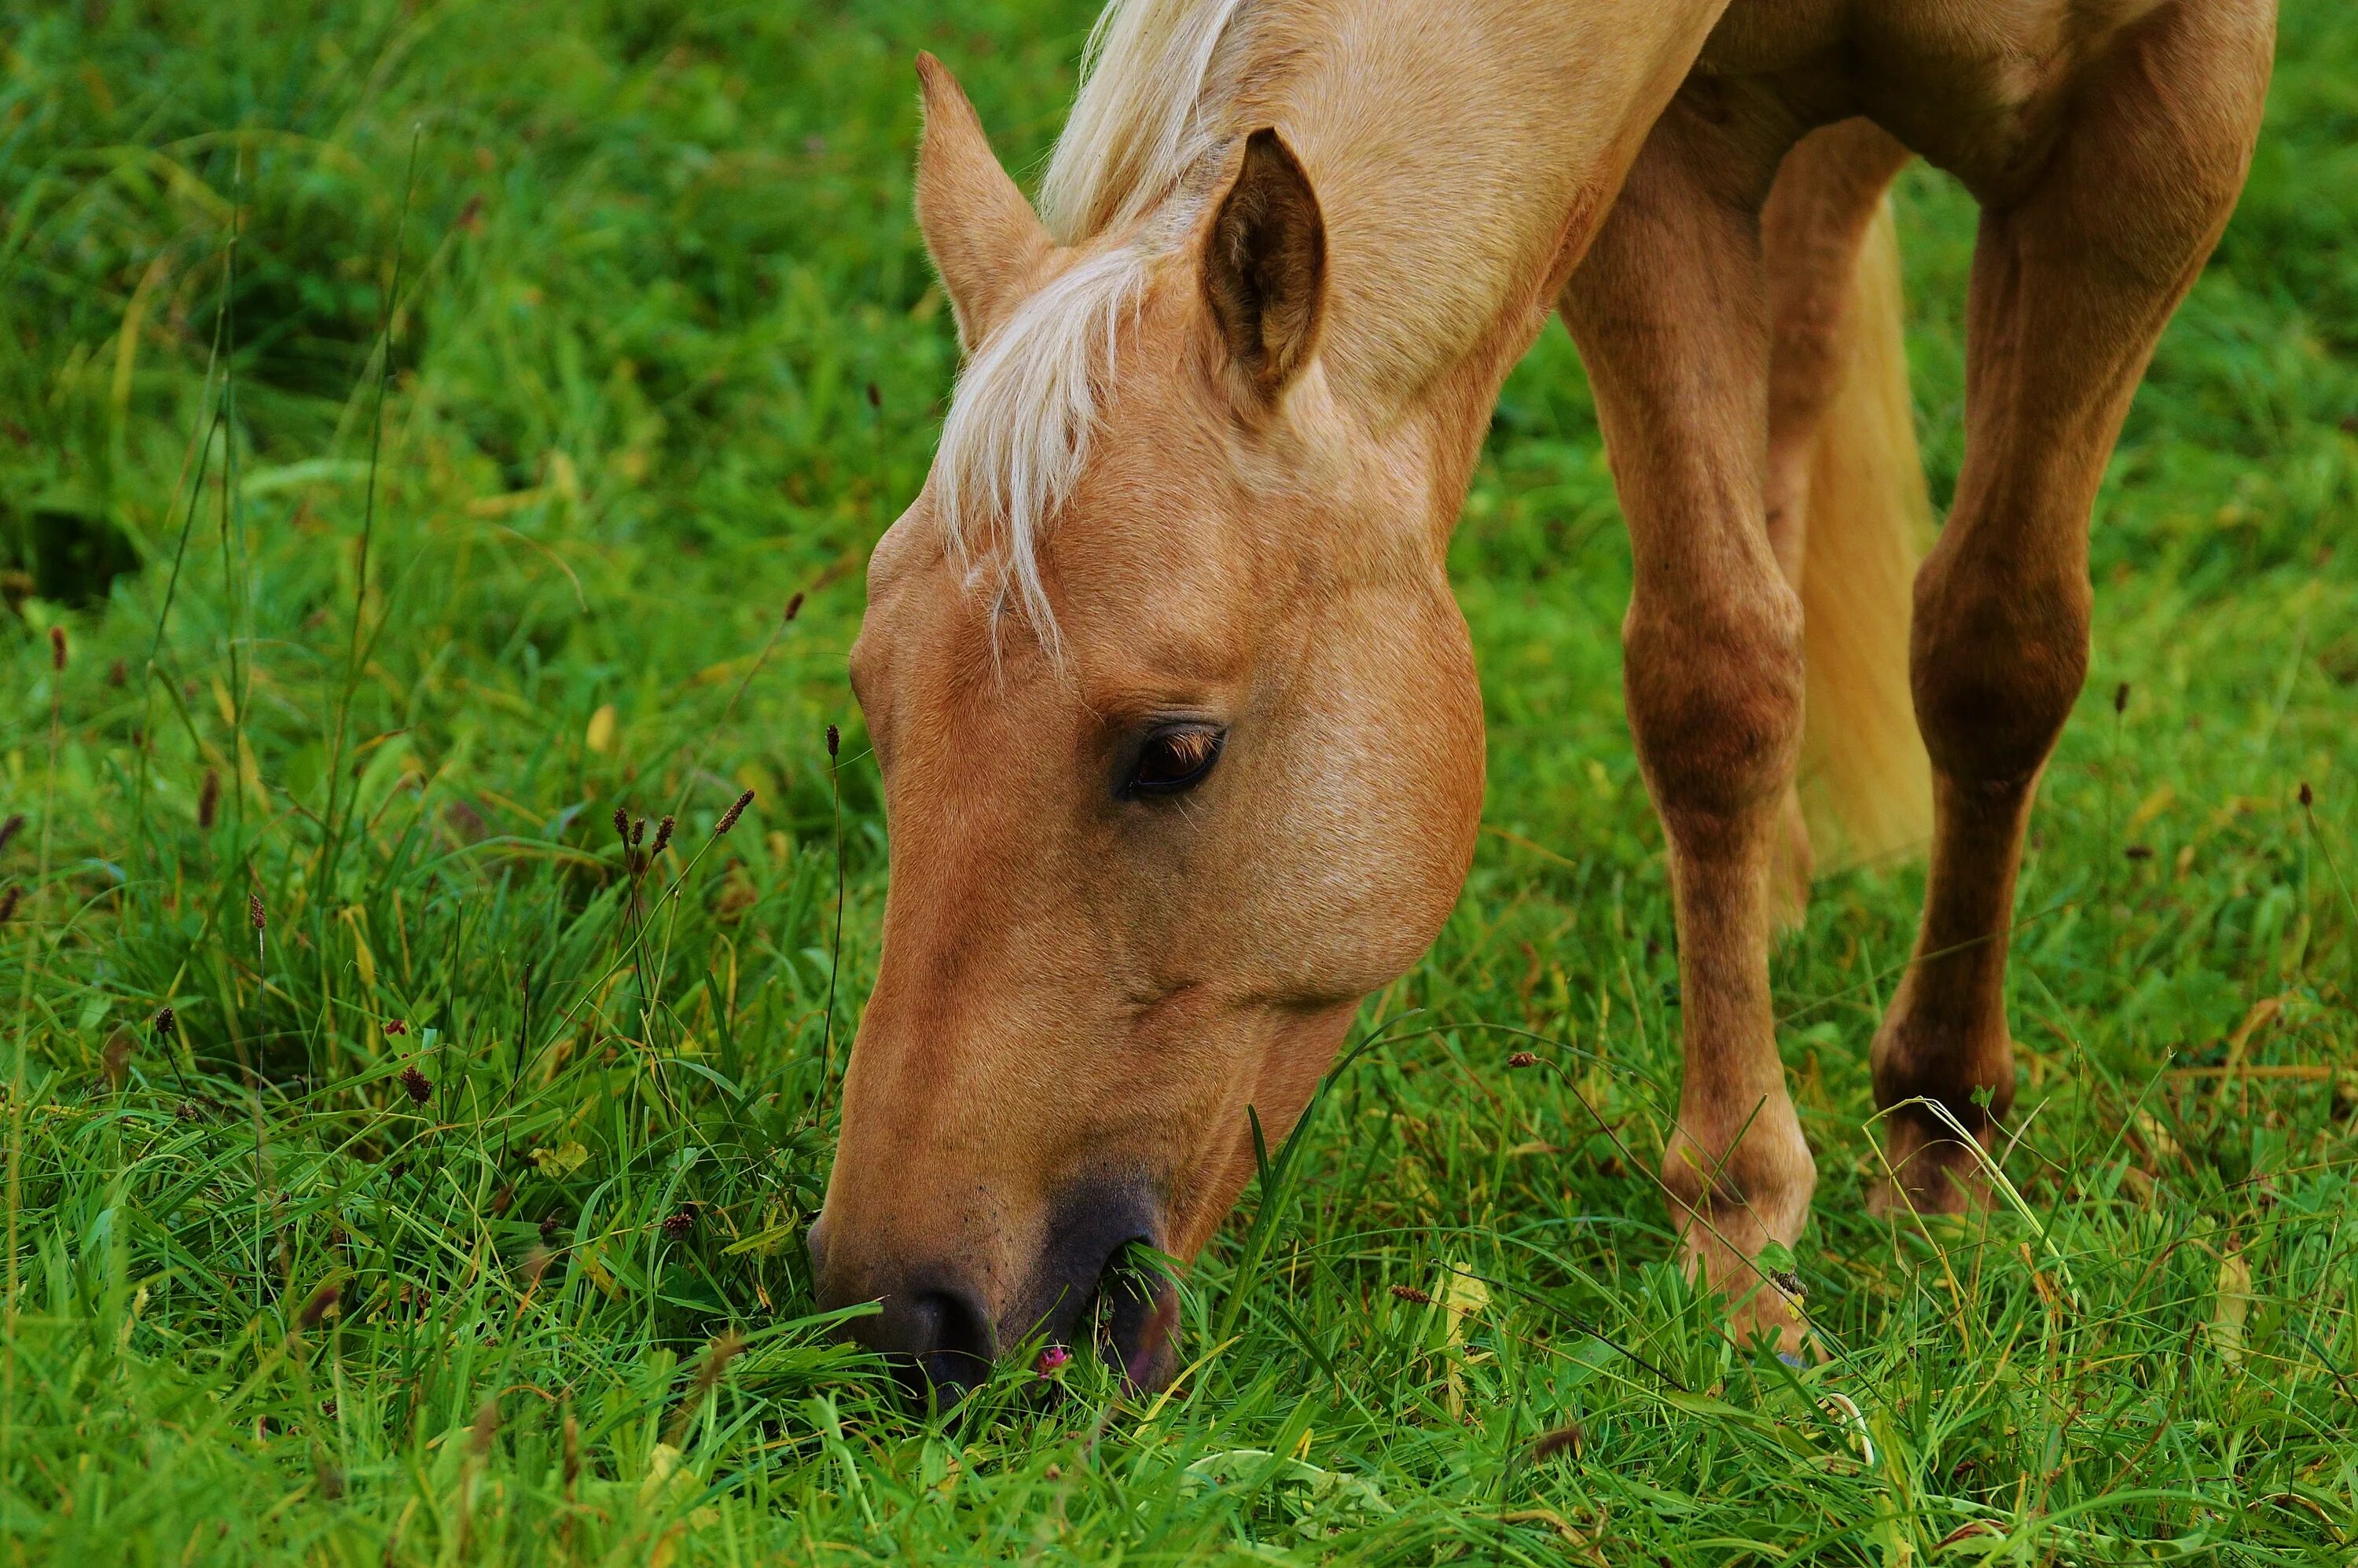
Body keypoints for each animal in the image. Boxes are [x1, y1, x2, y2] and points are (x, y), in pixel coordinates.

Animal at [806, 0, 2264, 1396]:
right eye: (878, 709)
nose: (903, 1318)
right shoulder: (1665, 155)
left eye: (1176, 751)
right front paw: (1745, 1228)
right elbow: (1719, 671)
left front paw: (1939, 1141)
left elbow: (1997, 649)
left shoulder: (2167, 112)